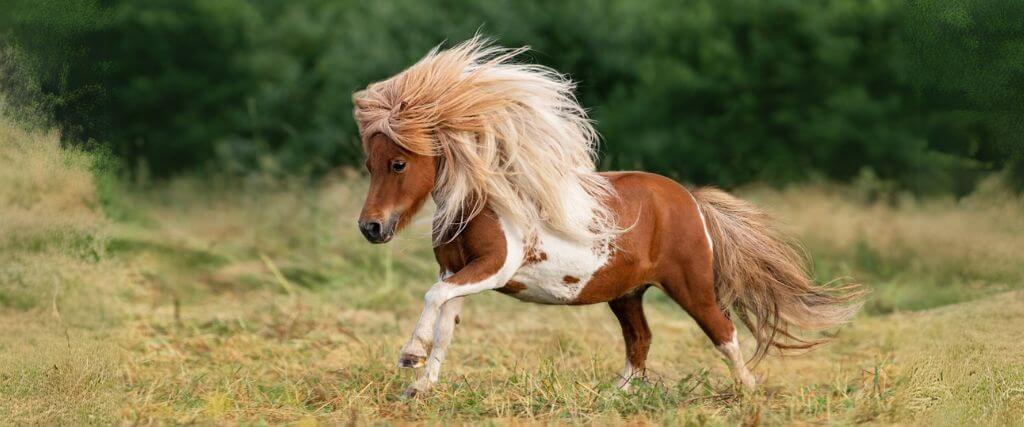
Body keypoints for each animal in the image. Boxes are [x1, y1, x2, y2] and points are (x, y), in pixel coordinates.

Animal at [352, 37, 863, 397]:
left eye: (398, 164)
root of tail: (691, 200)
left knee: (723, 332)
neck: (482, 203)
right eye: (369, 164)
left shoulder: (493, 268)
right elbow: (444, 323)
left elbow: (433, 298)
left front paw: (409, 357)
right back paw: (613, 397)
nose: (371, 228)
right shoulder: (457, 271)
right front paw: (419, 385)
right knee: (640, 342)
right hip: (628, 293)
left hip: (691, 285)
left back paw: (748, 393)